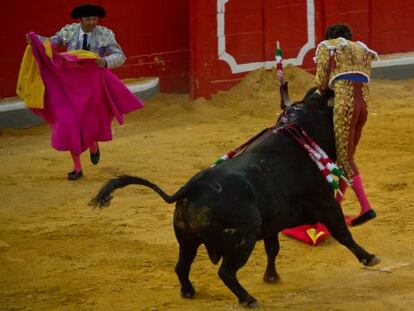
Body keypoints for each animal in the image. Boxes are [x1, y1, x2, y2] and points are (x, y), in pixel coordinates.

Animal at [90, 86, 378, 308]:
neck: (300, 131)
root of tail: (191, 189)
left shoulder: (272, 222)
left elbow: (273, 248)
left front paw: (271, 277)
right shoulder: (325, 204)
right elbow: (342, 233)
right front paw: (369, 257)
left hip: (187, 238)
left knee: (182, 266)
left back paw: (188, 291)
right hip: (243, 237)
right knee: (226, 272)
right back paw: (248, 298)